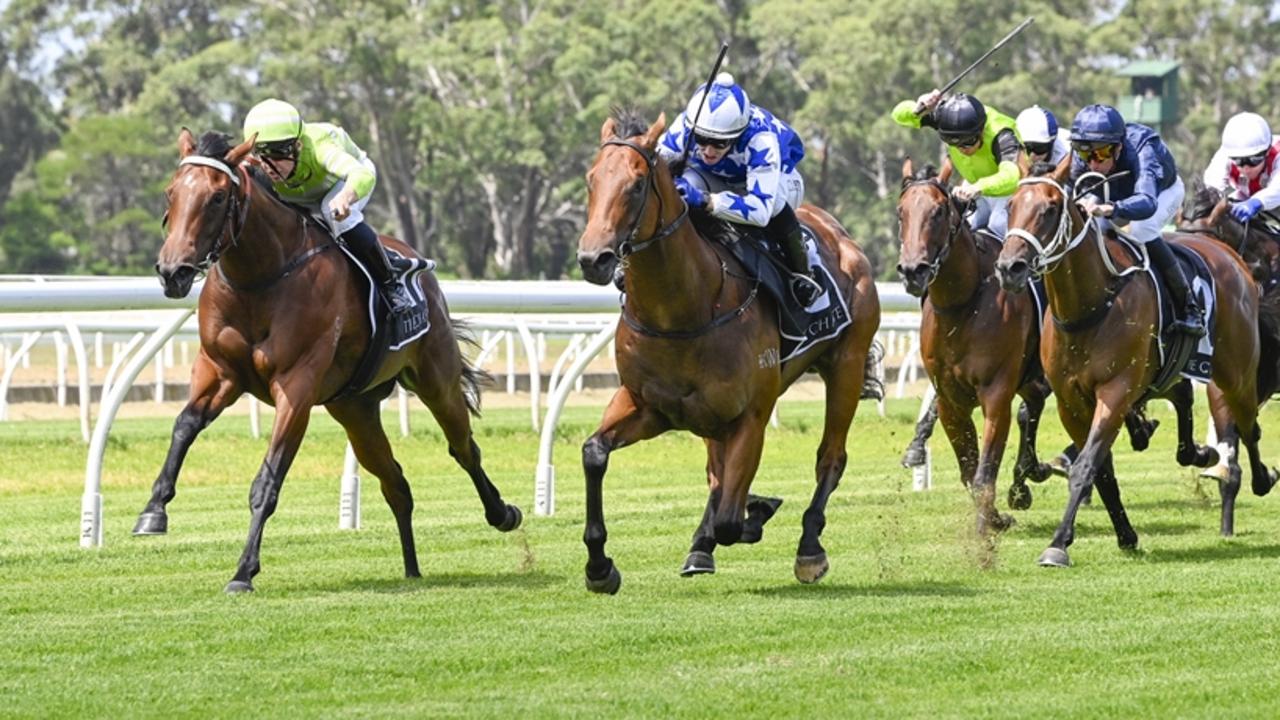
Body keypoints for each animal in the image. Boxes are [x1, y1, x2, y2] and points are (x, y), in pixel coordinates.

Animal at [136, 128, 519, 589]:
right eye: (171, 192)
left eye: (216, 197)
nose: (172, 272)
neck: (261, 278)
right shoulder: (220, 373)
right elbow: (184, 425)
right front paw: (153, 511)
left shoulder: (296, 388)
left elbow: (267, 481)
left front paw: (244, 571)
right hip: (355, 409)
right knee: (396, 483)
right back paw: (411, 568)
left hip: (435, 380)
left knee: (463, 448)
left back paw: (503, 513)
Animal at [578, 109, 880, 591]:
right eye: (592, 180)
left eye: (637, 184)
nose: (594, 259)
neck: (683, 310)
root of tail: (842, 235)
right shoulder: (647, 405)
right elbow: (594, 453)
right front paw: (600, 567)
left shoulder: (751, 415)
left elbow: (730, 521)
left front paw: (755, 514)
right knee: (717, 474)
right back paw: (704, 545)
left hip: (846, 366)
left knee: (830, 458)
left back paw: (809, 548)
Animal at [896, 159, 1054, 535]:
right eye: (900, 213)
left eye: (938, 212)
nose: (913, 271)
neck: (961, 305)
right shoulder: (951, 401)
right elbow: (970, 472)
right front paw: (996, 517)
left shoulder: (996, 394)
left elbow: (985, 471)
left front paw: (989, 524)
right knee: (1033, 406)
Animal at [993, 155, 1274, 561]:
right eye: (1011, 205)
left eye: (1050, 208)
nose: (1009, 268)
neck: (1090, 305)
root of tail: (1229, 255)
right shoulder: (1070, 400)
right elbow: (1102, 469)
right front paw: (1126, 534)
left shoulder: (1116, 389)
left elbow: (1086, 466)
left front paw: (1058, 544)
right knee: (1183, 395)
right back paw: (1195, 451)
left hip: (1236, 373)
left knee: (1249, 426)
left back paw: (1262, 478)